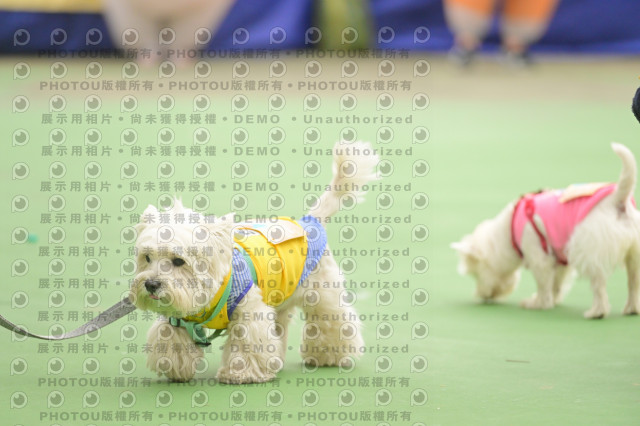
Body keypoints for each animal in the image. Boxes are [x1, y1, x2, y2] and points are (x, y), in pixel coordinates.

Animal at [130, 141, 379, 382]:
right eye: (147, 257)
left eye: (179, 261)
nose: (150, 284)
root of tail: (310, 221)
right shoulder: (177, 319)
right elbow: (172, 341)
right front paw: (176, 369)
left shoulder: (249, 312)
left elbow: (247, 343)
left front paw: (240, 374)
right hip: (280, 300)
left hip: (322, 294)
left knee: (333, 321)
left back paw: (328, 356)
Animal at [452, 143, 640, 318]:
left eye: (475, 274)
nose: (482, 296)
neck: (508, 231)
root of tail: (617, 199)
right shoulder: (559, 259)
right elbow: (555, 283)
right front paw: (553, 300)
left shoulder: (538, 257)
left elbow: (543, 284)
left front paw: (538, 303)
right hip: (633, 255)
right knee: (633, 282)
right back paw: (632, 309)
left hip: (590, 251)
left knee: (599, 284)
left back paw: (596, 312)